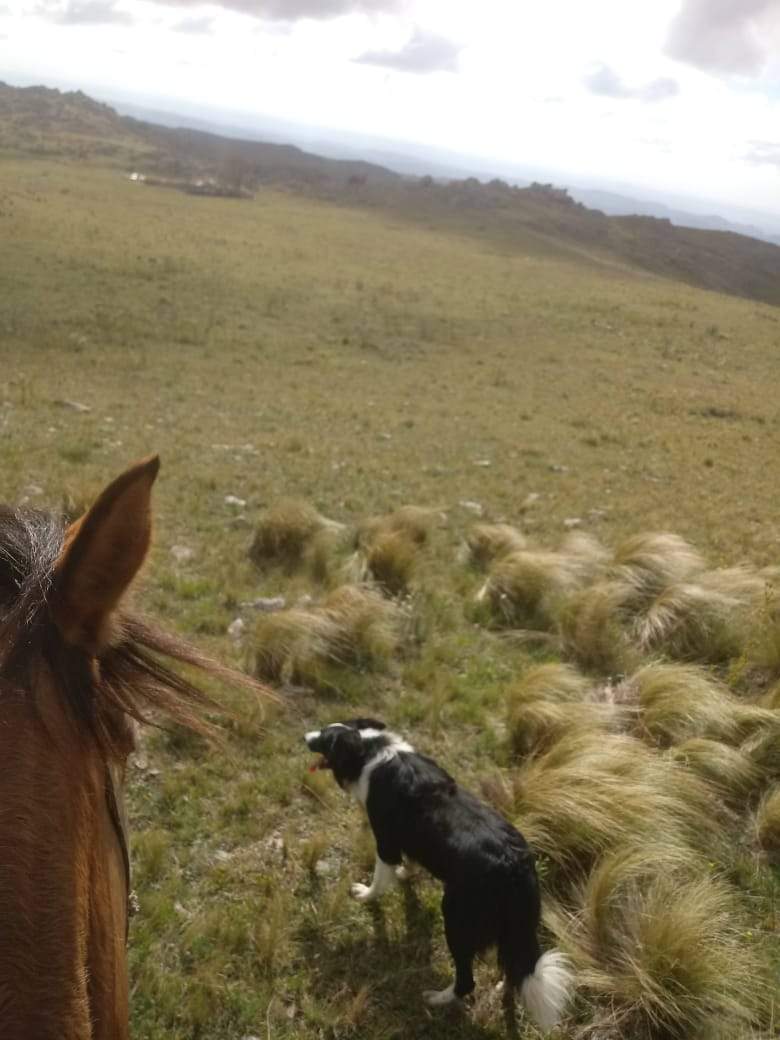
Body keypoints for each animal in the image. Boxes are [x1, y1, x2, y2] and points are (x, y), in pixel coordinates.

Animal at [305, 719, 574, 1027]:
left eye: (325, 739)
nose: (305, 737)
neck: (368, 748)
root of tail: (516, 867)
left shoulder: (385, 841)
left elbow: (379, 879)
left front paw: (365, 895)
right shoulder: (407, 839)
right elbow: (409, 864)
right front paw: (406, 875)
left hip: (457, 918)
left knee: (467, 981)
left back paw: (437, 999)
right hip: (511, 928)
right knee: (514, 965)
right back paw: (503, 990)